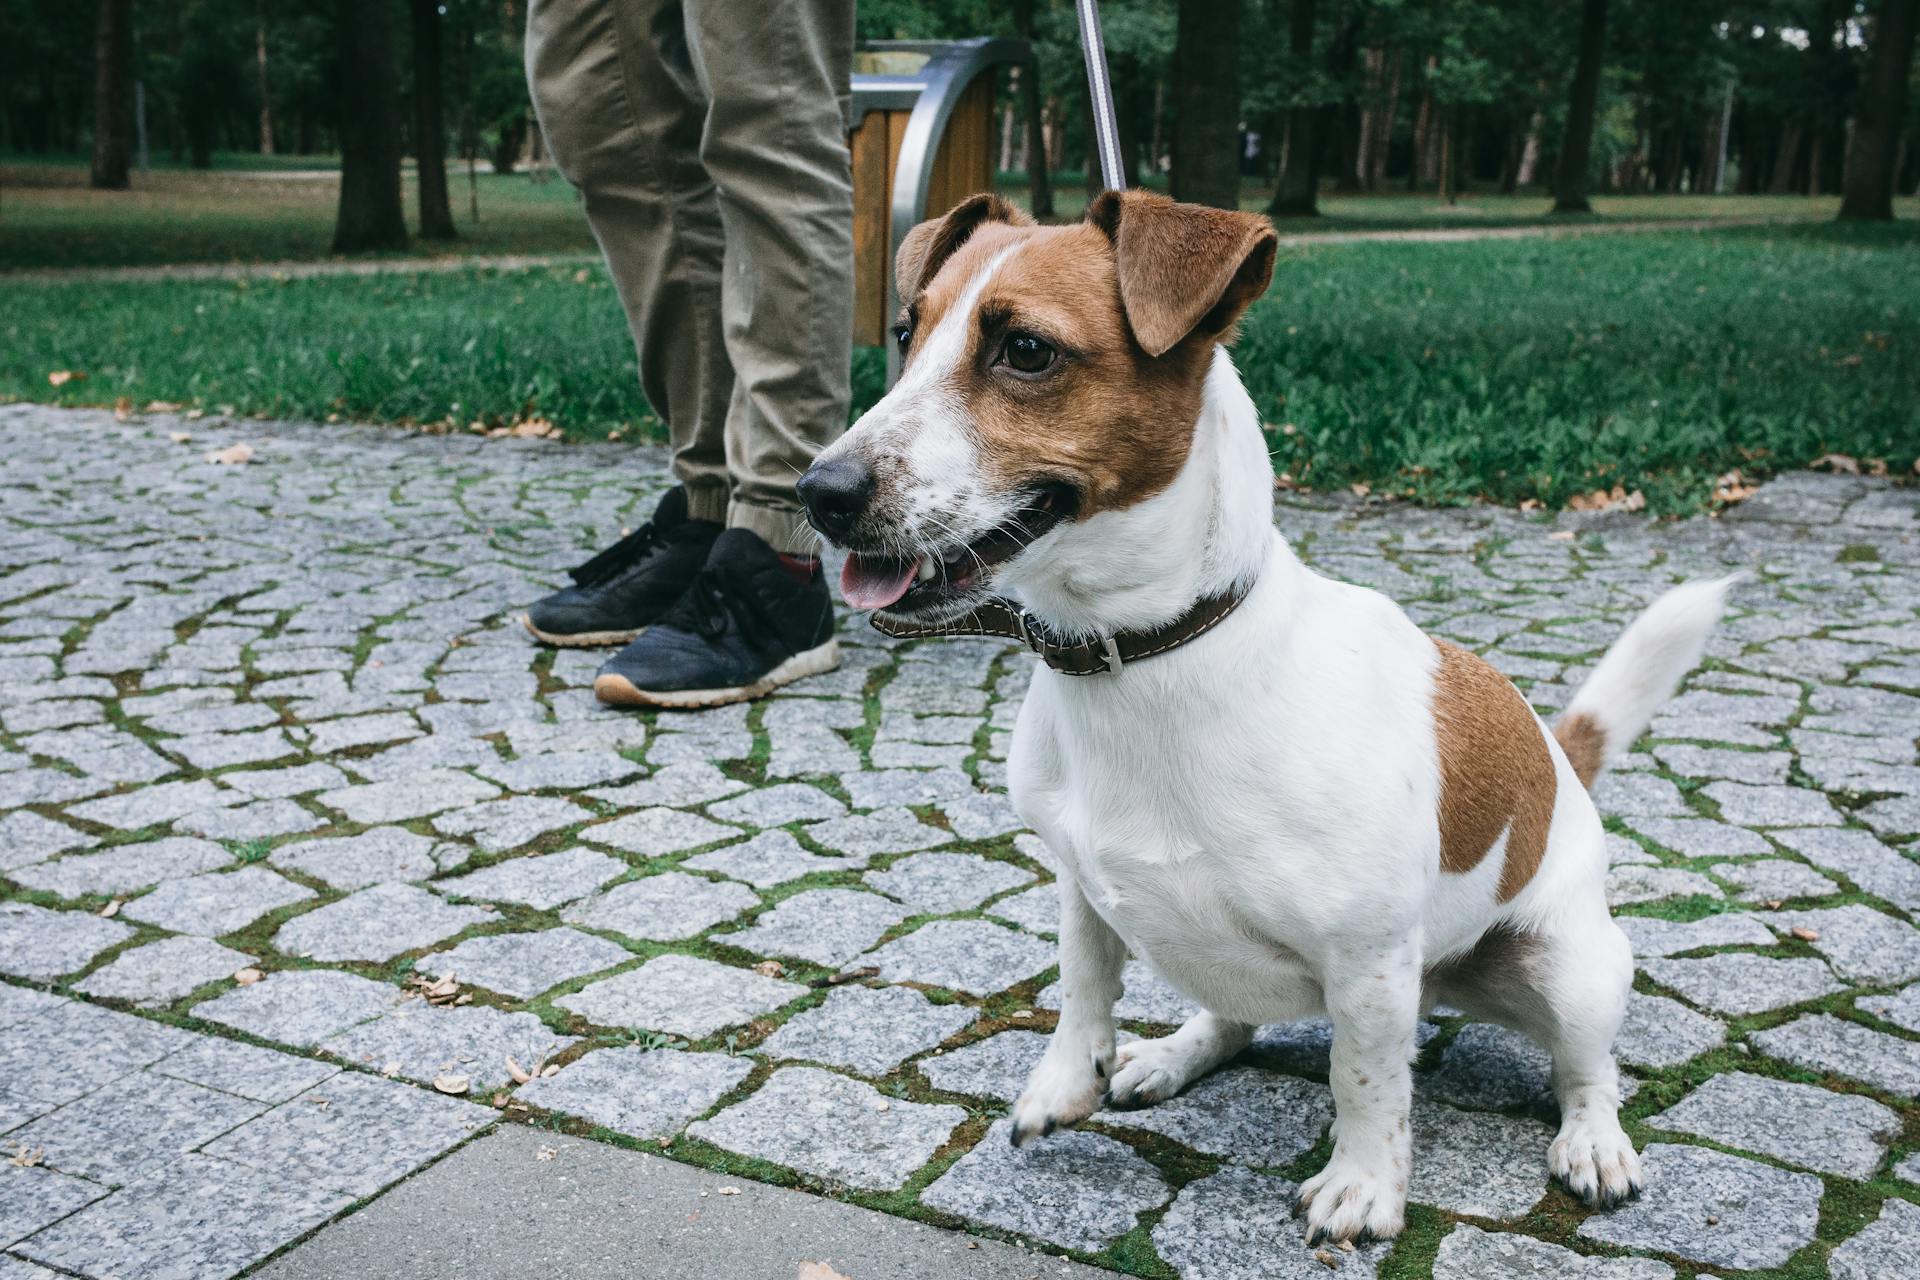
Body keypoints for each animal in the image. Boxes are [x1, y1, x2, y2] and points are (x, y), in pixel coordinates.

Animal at [791, 189, 1728, 1243]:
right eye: (906, 335)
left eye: (1025, 350)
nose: (820, 493)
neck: (1143, 659)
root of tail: (1559, 758)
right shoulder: (1081, 888)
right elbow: (1083, 986)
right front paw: (1070, 1079)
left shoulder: (1368, 962)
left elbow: (1366, 1079)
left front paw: (1364, 1184)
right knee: (1234, 1017)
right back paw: (1172, 1053)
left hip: (1571, 968)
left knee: (1586, 1066)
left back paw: (1593, 1140)